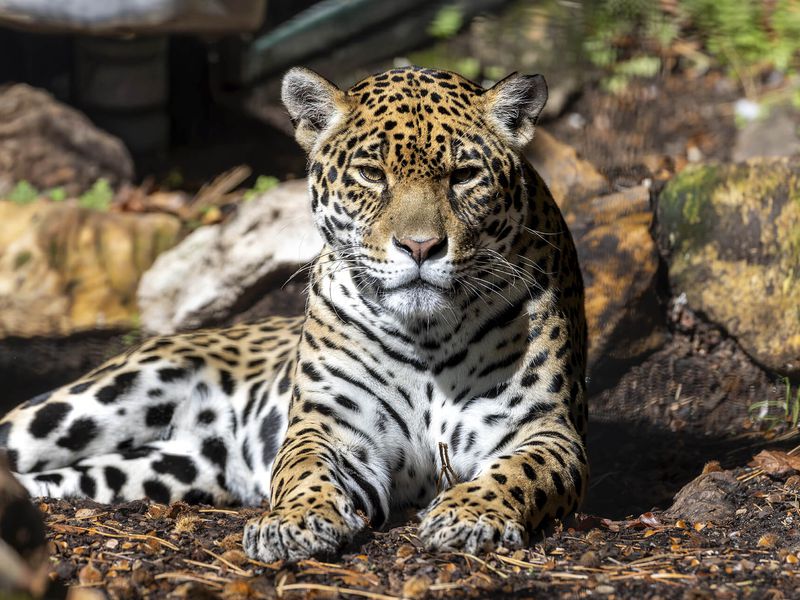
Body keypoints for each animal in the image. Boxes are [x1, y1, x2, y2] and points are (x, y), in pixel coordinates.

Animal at [0, 66, 588, 563]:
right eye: (371, 174)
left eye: (464, 175)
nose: (420, 247)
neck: (428, 334)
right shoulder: (331, 425)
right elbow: (304, 470)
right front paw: (294, 523)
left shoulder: (546, 430)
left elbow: (516, 472)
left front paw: (469, 514)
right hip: (96, 400)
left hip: (159, 469)